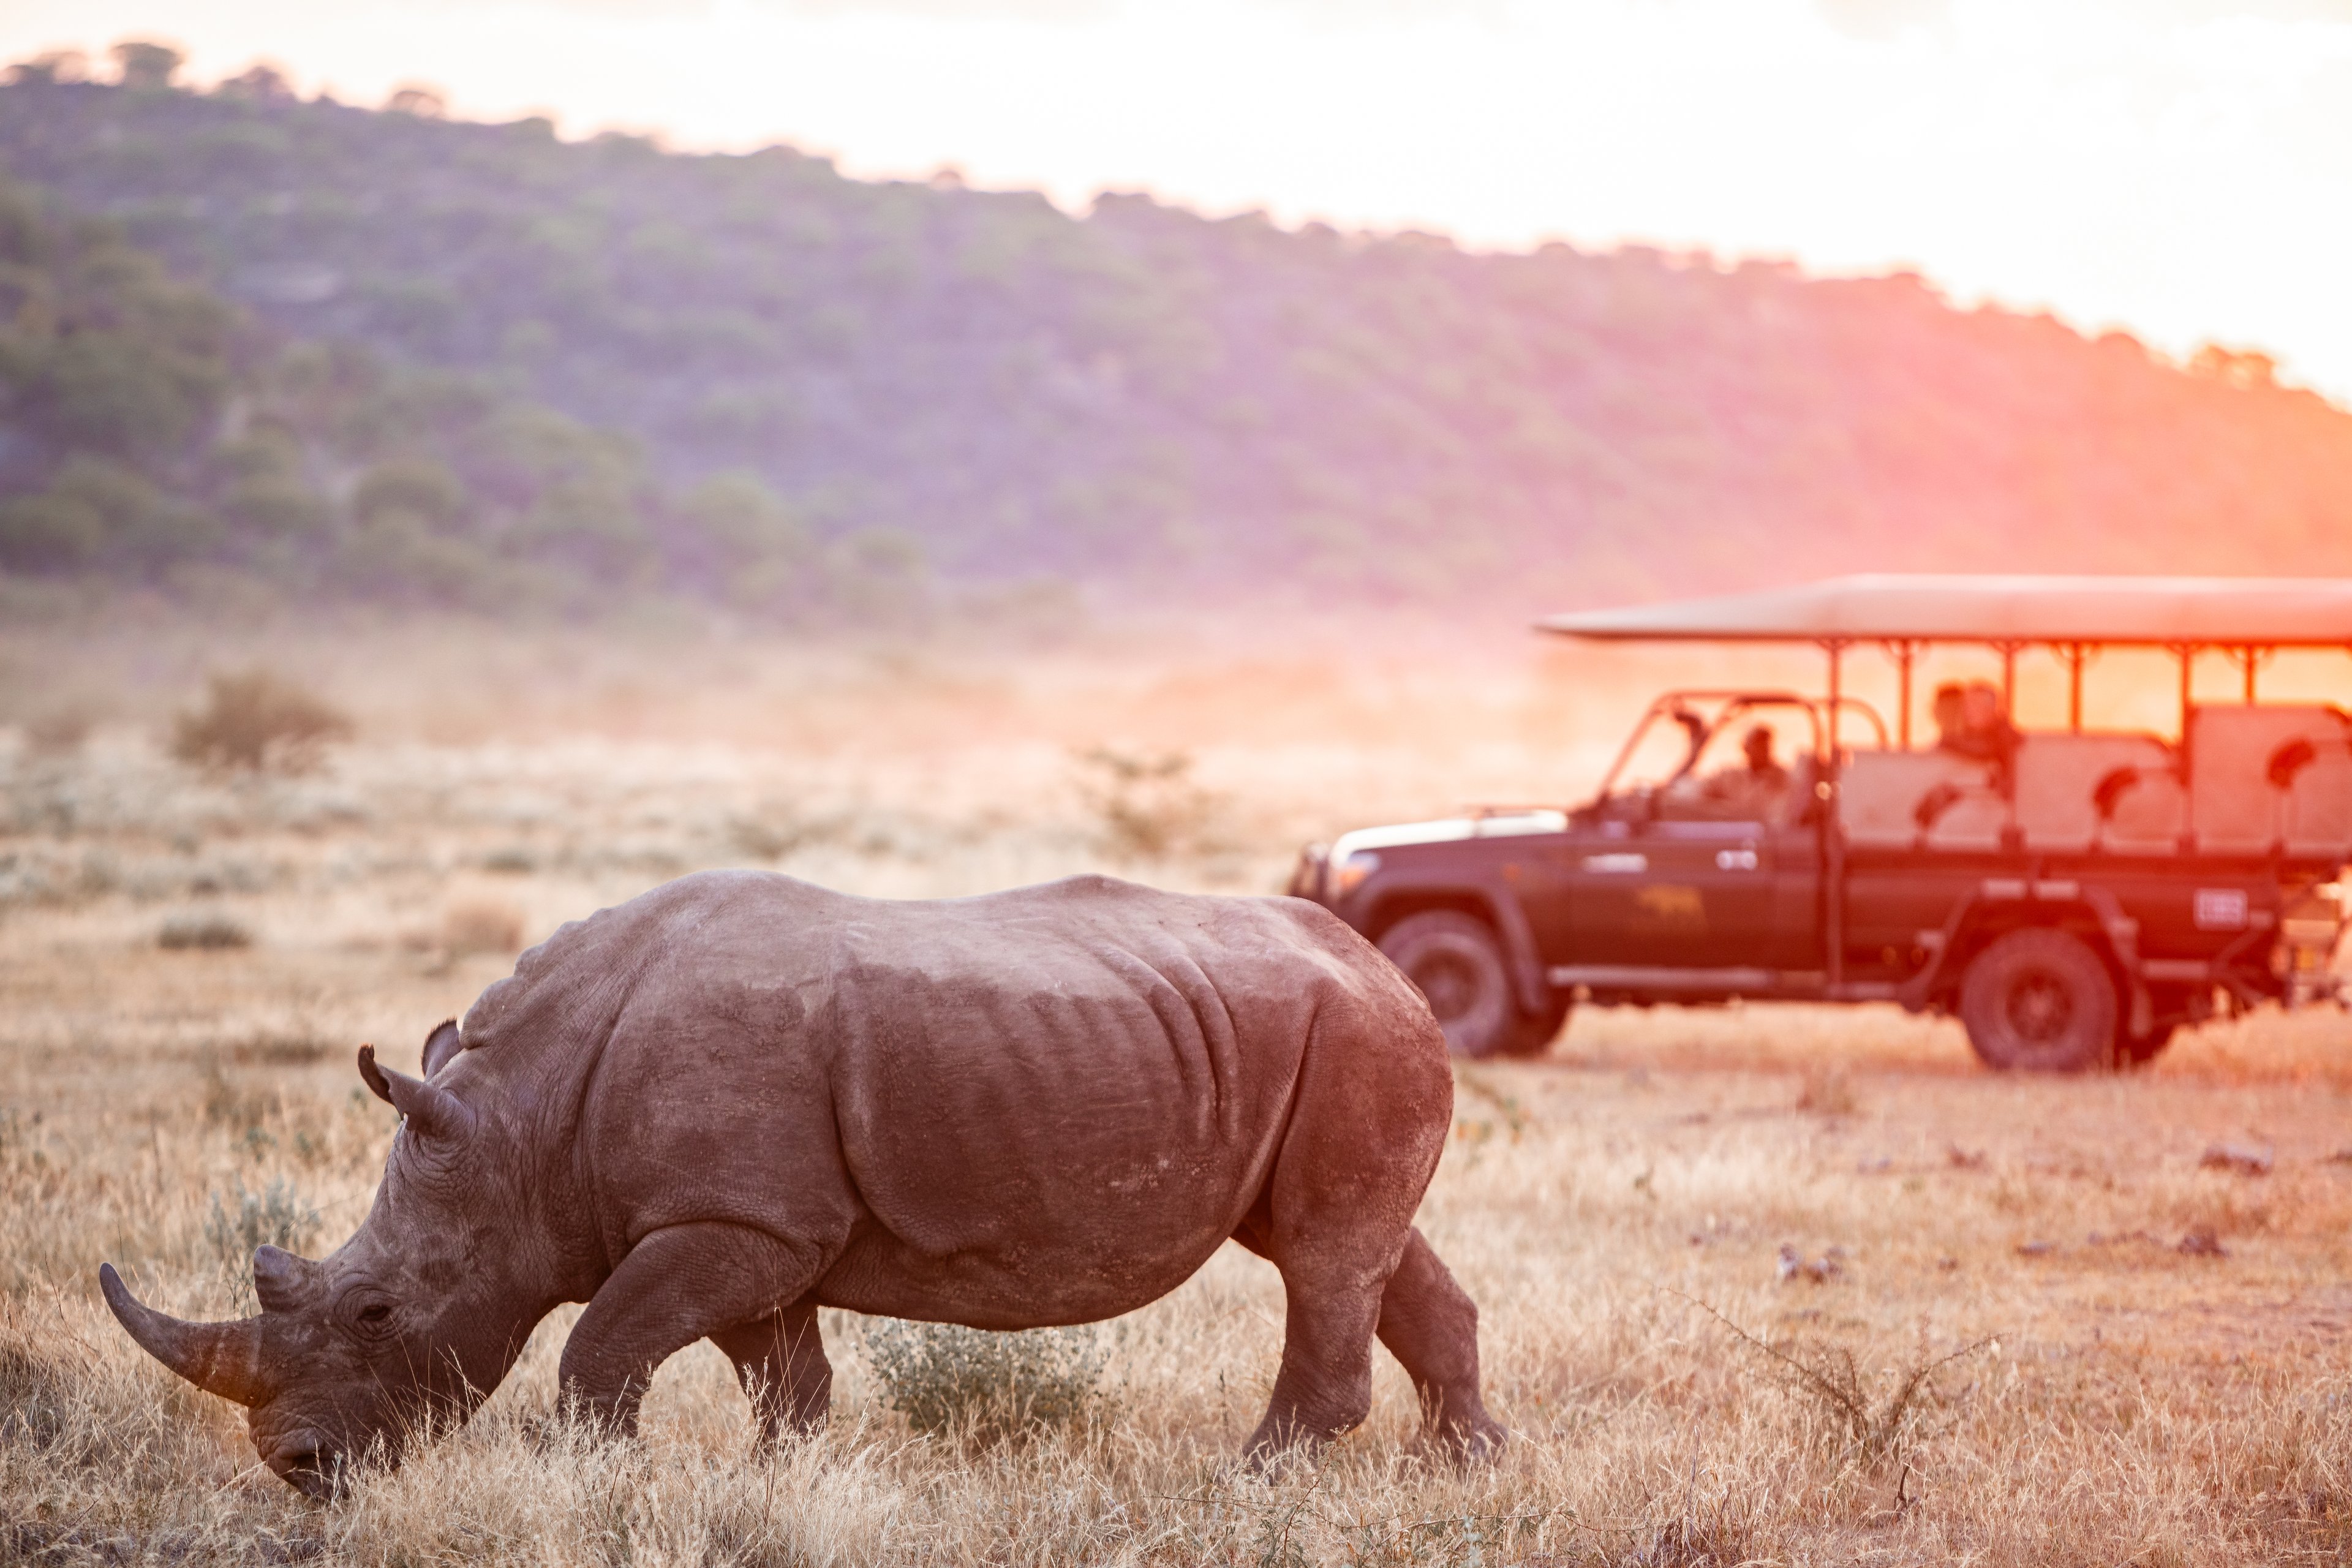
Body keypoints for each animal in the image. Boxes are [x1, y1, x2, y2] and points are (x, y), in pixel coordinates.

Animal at [101, 871, 1504, 1495]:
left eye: (378, 1310)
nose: (301, 1468)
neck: (522, 1127)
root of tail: (1390, 964)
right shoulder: (753, 1221)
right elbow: (783, 1374)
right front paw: (777, 1485)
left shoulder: (733, 1220)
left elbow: (603, 1345)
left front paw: (599, 1481)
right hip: (1326, 1034)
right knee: (1359, 1246)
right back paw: (1472, 1469)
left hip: (1352, 1035)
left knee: (1325, 1251)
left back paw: (1251, 1478)